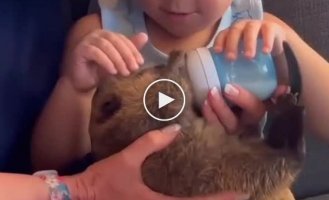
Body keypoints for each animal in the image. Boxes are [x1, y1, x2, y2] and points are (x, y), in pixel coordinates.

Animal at [88, 50, 304, 199]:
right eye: (140, 73)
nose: (158, 64)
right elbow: (167, 94)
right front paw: (175, 60)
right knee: (287, 160)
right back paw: (291, 110)